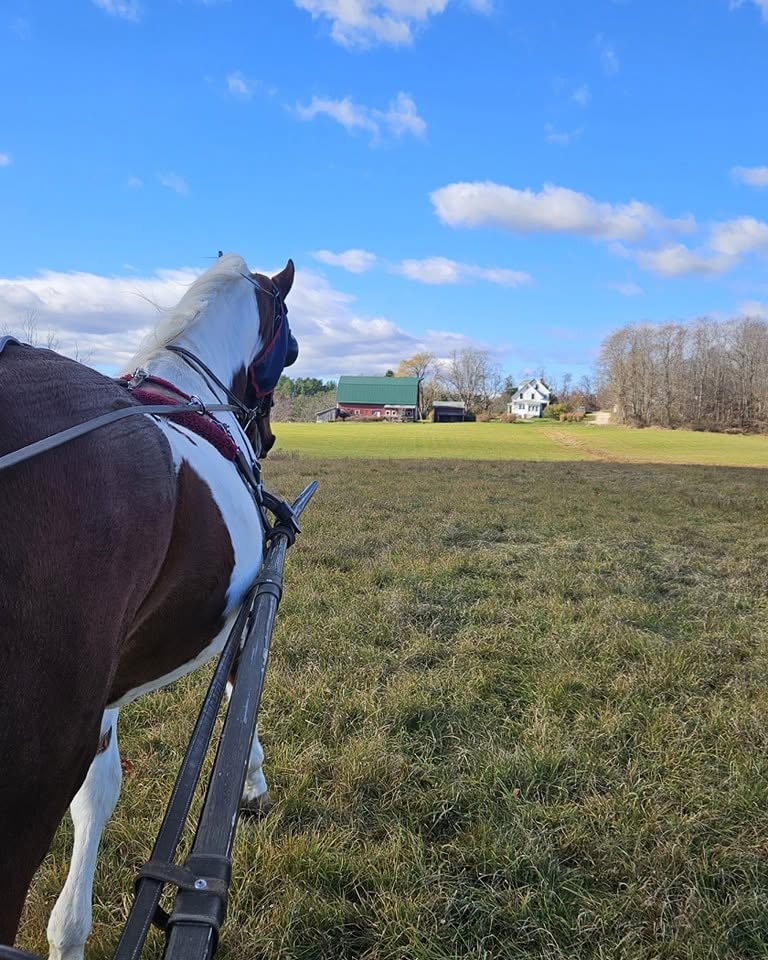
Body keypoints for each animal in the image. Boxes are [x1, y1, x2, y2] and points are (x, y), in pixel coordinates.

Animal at [0, 252, 298, 960]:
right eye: (292, 346)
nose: (269, 436)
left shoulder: (101, 696)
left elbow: (97, 792)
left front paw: (68, 932)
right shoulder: (247, 615)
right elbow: (238, 697)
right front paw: (252, 785)